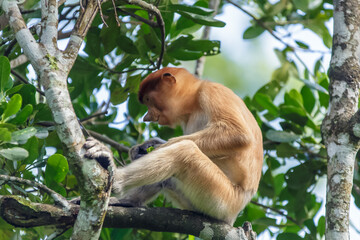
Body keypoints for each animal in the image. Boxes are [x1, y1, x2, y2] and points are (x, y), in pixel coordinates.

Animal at [83, 66, 262, 224]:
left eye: (148, 100)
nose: (147, 117)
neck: (194, 102)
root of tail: (233, 216)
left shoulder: (213, 91)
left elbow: (238, 134)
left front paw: (153, 149)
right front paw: (144, 146)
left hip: (222, 200)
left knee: (185, 151)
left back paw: (115, 175)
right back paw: (128, 201)